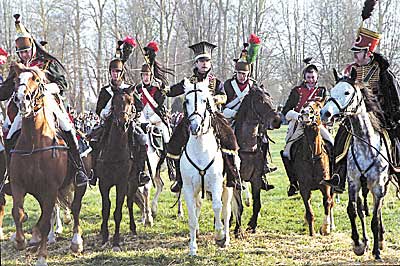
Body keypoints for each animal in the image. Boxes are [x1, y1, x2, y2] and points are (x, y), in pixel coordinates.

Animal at [8, 63, 87, 264]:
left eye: (36, 80)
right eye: (16, 79)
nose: (22, 100)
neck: (34, 144)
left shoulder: (50, 188)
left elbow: (45, 222)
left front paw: (42, 257)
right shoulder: (19, 185)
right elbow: (18, 213)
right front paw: (21, 241)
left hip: (78, 184)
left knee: (75, 207)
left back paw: (76, 242)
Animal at [180, 80, 233, 256]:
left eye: (205, 100)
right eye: (187, 101)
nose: (195, 127)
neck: (201, 150)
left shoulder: (216, 183)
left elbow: (217, 207)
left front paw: (219, 234)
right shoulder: (188, 188)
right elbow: (192, 216)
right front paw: (193, 247)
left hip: (227, 188)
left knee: (226, 211)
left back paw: (226, 240)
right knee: (198, 207)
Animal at [234, 85, 282, 235]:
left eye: (270, 98)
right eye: (260, 100)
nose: (277, 121)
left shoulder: (256, 178)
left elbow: (257, 203)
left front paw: (252, 225)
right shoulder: (236, 179)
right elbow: (238, 206)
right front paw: (238, 230)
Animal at [290, 101, 334, 236]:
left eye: (318, 106)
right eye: (304, 105)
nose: (305, 113)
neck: (312, 156)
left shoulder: (325, 185)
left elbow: (327, 202)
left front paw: (325, 228)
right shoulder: (304, 187)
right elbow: (309, 212)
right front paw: (312, 233)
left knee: (331, 202)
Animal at [322, 69, 390, 260]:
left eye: (347, 92)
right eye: (332, 91)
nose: (325, 113)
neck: (366, 145)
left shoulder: (378, 186)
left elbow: (375, 217)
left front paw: (376, 251)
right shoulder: (354, 183)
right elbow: (353, 210)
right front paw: (358, 244)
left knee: (377, 211)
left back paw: (379, 240)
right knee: (361, 210)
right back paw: (366, 241)